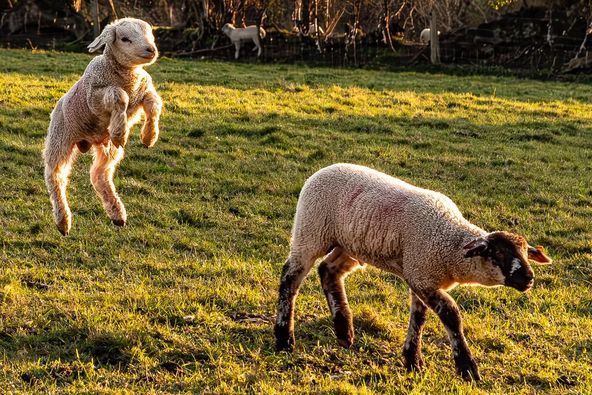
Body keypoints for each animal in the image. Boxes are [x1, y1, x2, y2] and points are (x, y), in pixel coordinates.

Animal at [42, 17, 163, 235]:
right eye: (125, 39)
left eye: (150, 34)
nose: (151, 50)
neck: (128, 78)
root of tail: (87, 141)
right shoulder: (96, 96)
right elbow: (119, 96)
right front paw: (120, 131)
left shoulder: (144, 89)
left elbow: (154, 105)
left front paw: (149, 136)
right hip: (59, 138)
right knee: (55, 175)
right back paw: (63, 221)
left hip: (108, 149)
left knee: (99, 175)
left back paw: (117, 214)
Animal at [276, 163, 552, 380]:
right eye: (498, 254)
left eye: (525, 253)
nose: (529, 278)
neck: (450, 242)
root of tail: (322, 170)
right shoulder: (422, 275)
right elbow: (451, 315)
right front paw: (467, 368)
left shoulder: (421, 276)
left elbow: (419, 318)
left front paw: (412, 360)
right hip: (310, 231)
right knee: (290, 277)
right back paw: (284, 339)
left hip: (349, 244)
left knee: (328, 270)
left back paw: (344, 331)